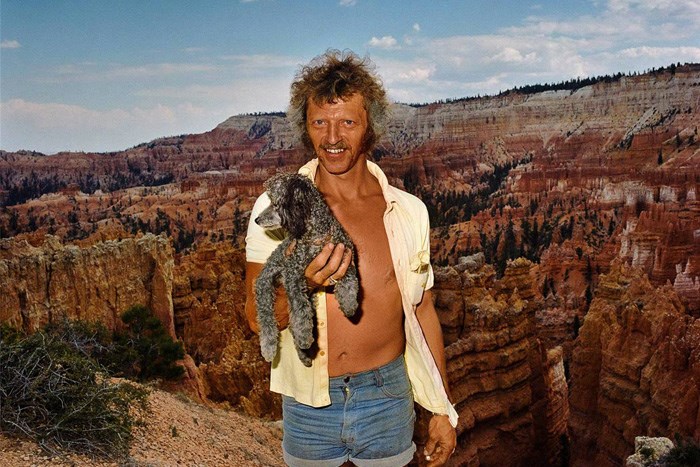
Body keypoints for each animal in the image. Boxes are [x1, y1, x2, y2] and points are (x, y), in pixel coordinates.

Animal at [254, 172, 359, 367]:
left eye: (275, 203)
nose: (257, 219)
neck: (315, 235)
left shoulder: (346, 258)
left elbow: (350, 285)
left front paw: (349, 307)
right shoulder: (293, 276)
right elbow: (300, 310)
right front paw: (304, 334)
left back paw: (304, 355)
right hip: (264, 283)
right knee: (266, 316)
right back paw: (269, 347)